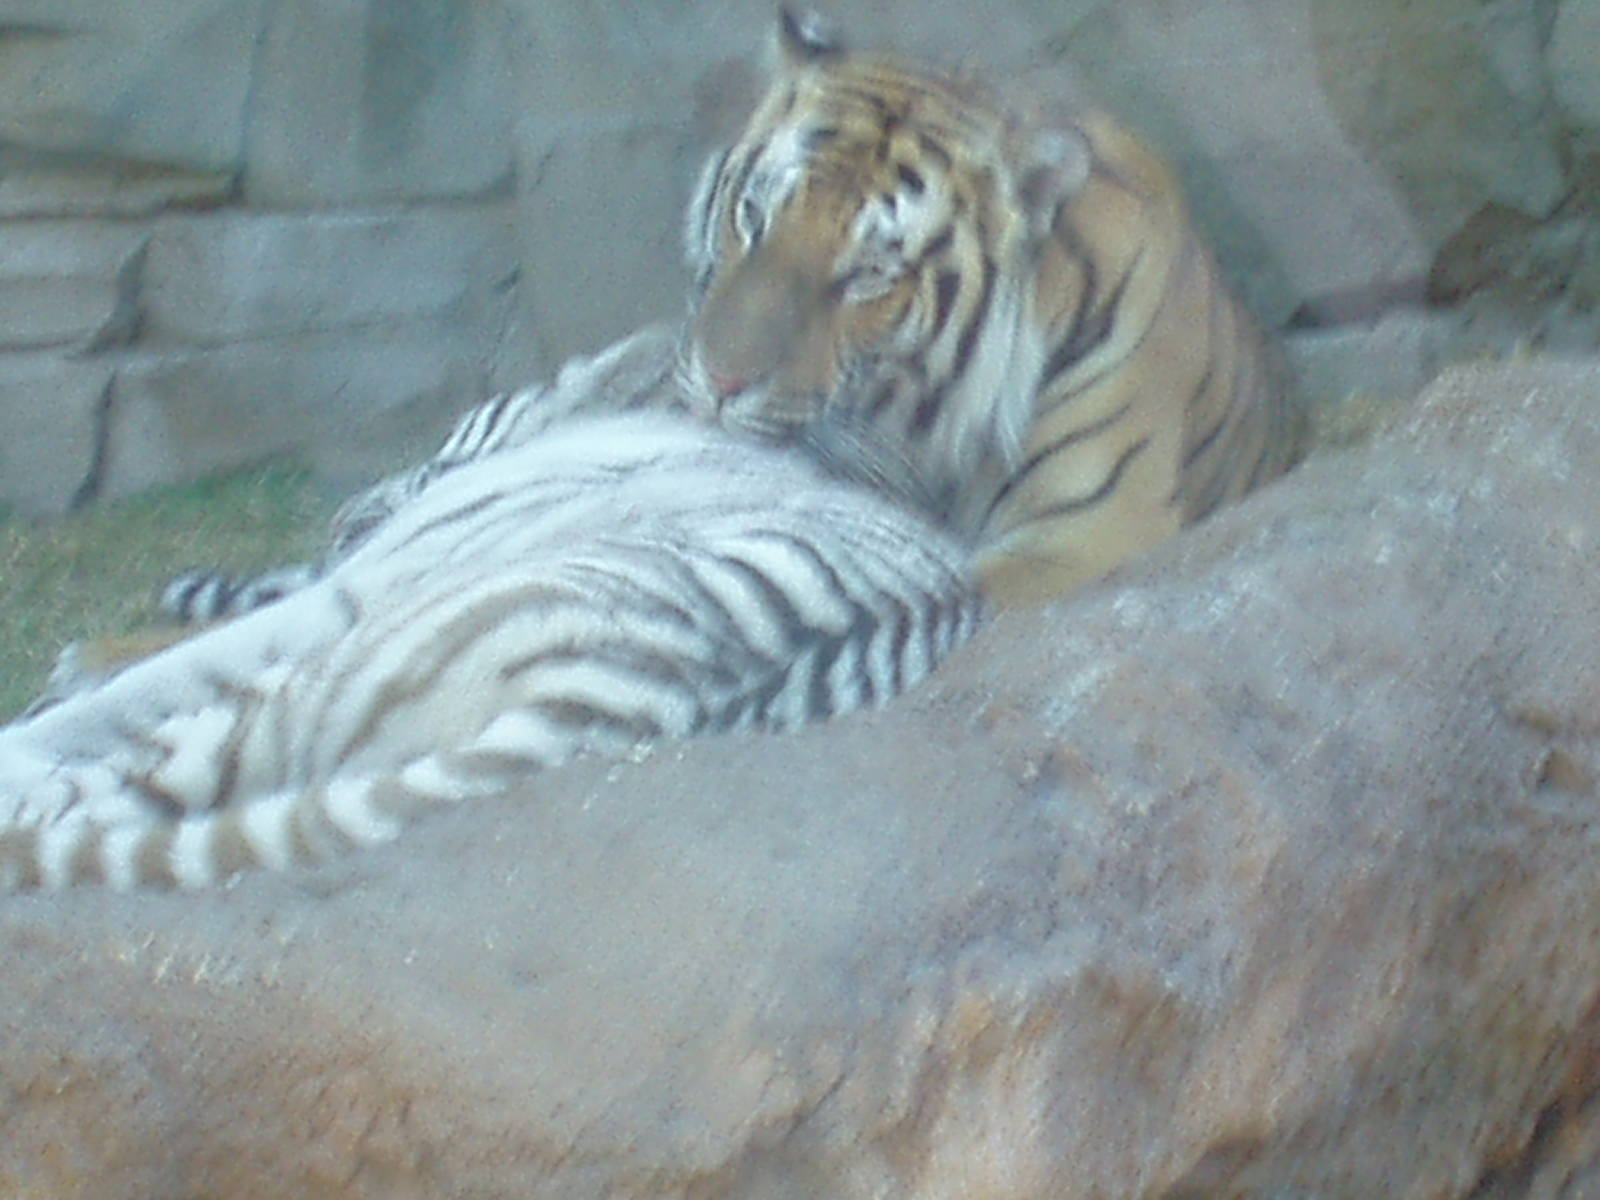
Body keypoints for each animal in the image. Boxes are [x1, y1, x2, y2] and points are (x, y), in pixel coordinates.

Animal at [0, 329, 979, 890]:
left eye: (454, 432)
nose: (345, 513)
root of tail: (640, 699)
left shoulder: (347, 594)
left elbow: (151, 678)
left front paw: (63, 699)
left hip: (342, 671)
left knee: (95, 792)